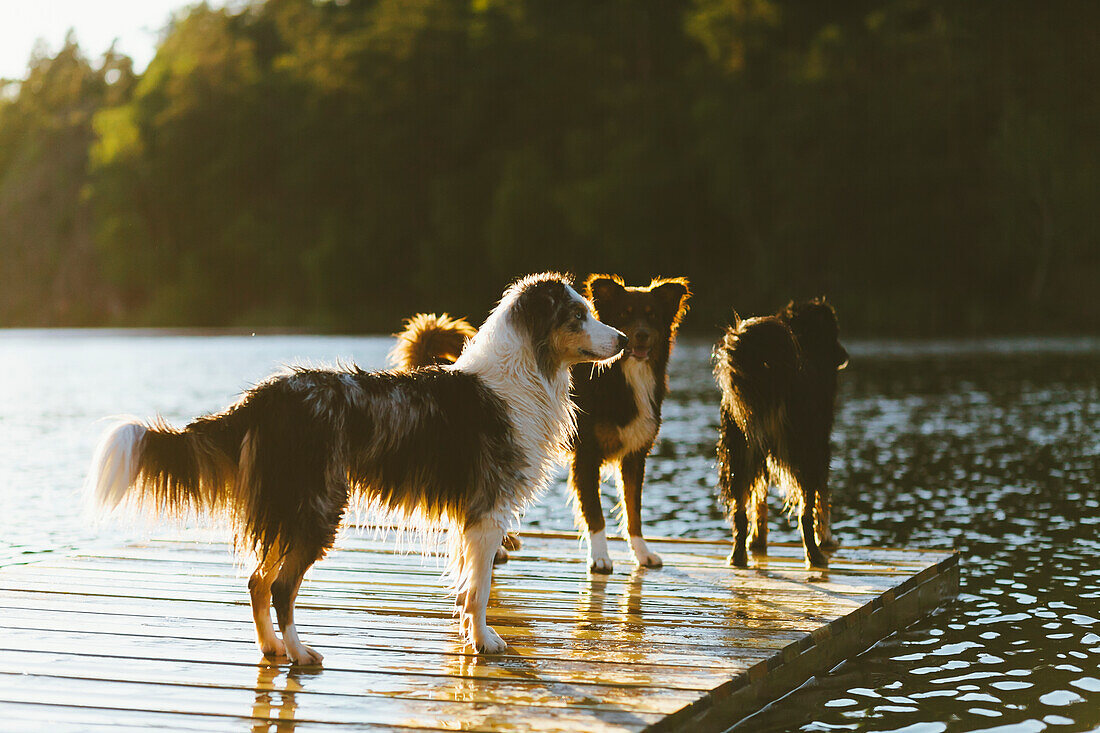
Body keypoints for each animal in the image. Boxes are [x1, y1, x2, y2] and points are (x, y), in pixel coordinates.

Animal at [85, 270, 629, 660]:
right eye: (577, 316)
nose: (624, 339)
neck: (523, 373)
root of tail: (261, 398)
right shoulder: (487, 508)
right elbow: (479, 589)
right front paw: (484, 642)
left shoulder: (474, 515)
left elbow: (468, 585)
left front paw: (471, 637)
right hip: (318, 507)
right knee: (280, 587)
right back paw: (300, 653)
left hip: (290, 506)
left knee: (257, 582)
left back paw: (272, 648)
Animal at [393, 272, 686, 572]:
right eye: (624, 314)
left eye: (652, 316)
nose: (634, 337)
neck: (621, 379)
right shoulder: (586, 455)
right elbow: (595, 513)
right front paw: (600, 557)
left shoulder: (635, 455)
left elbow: (633, 509)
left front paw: (642, 553)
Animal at [712, 294, 849, 563]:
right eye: (834, 333)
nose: (844, 356)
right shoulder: (821, 446)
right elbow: (822, 501)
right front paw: (826, 538)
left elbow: (759, 500)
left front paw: (757, 540)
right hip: (802, 451)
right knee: (805, 511)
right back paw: (815, 554)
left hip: (739, 449)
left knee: (739, 509)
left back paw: (738, 554)